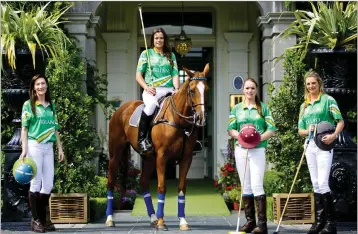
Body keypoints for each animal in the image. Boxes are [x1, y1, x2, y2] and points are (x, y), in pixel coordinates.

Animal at [105, 63, 208, 230]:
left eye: (206, 90)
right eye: (192, 90)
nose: (201, 118)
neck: (178, 121)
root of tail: (122, 108)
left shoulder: (186, 159)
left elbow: (181, 188)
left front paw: (182, 221)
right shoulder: (162, 158)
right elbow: (161, 187)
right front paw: (161, 221)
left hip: (149, 159)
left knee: (143, 183)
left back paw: (153, 217)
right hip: (116, 154)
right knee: (111, 182)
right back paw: (109, 219)